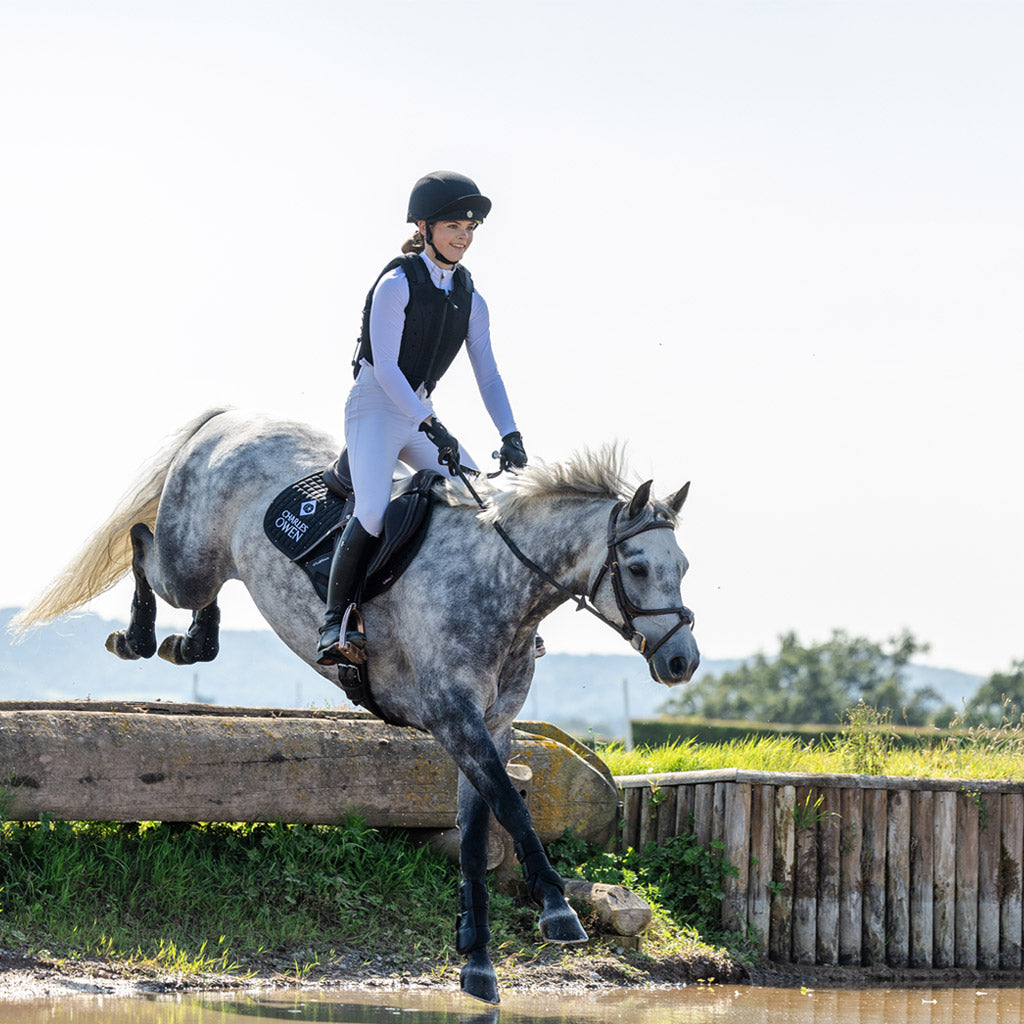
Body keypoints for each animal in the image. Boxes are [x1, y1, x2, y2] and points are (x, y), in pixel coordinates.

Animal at [13, 408, 700, 1004]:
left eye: (685, 566)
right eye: (638, 567)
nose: (682, 662)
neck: (501, 587)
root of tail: (229, 420)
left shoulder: (493, 729)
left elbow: (477, 837)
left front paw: (476, 962)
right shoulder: (455, 720)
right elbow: (511, 805)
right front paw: (558, 911)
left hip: (216, 561)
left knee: (196, 599)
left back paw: (189, 642)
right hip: (188, 558)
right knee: (143, 543)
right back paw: (136, 635)